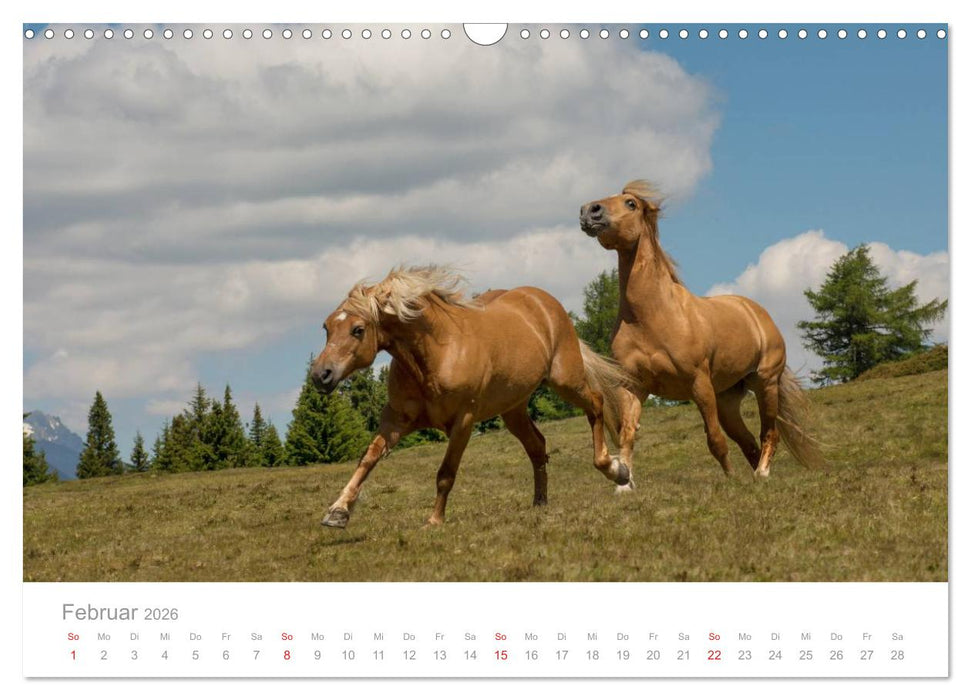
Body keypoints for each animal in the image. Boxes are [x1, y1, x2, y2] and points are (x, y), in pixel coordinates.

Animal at [310, 265, 633, 528]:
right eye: (326, 326)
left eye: (357, 329)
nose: (320, 375)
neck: (436, 353)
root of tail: (544, 301)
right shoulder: (396, 420)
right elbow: (368, 458)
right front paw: (337, 512)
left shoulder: (463, 421)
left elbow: (446, 473)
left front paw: (434, 520)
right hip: (513, 409)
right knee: (537, 446)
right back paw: (540, 503)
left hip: (565, 380)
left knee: (596, 404)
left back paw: (616, 470)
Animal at [579, 180, 824, 484]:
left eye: (631, 204)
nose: (589, 211)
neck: (651, 317)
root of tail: (757, 312)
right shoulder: (633, 386)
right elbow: (627, 435)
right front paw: (622, 479)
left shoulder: (699, 383)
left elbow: (715, 440)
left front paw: (731, 480)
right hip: (727, 400)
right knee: (747, 442)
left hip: (765, 383)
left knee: (768, 433)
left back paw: (762, 473)